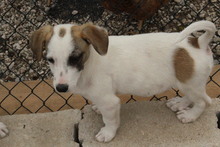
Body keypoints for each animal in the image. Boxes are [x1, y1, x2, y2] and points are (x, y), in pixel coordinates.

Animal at [29, 20, 217, 142]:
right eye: (50, 60)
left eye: (75, 58)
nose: (61, 88)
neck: (90, 64)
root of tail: (198, 42)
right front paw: (97, 109)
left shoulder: (110, 101)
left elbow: (110, 120)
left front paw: (107, 134)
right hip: (187, 83)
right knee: (192, 97)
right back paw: (180, 104)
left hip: (191, 83)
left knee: (204, 101)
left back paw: (190, 115)